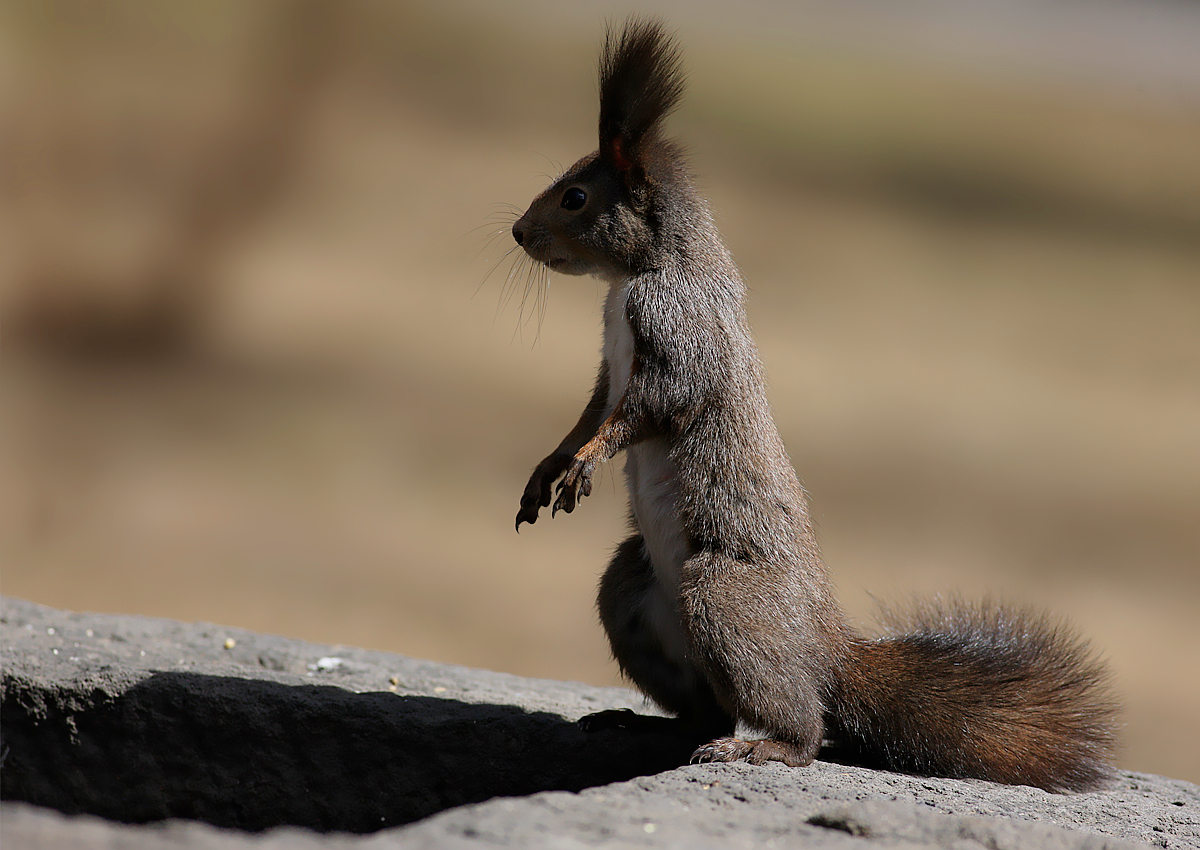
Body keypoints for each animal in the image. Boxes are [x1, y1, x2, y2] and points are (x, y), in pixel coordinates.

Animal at [506, 16, 1113, 792]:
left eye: (576, 198)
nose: (520, 233)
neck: (641, 272)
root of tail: (826, 653)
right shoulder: (607, 370)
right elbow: (589, 411)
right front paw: (550, 464)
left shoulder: (679, 332)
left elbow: (649, 408)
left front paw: (585, 460)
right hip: (630, 594)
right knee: (703, 710)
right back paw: (646, 722)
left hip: (721, 596)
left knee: (804, 727)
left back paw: (762, 748)